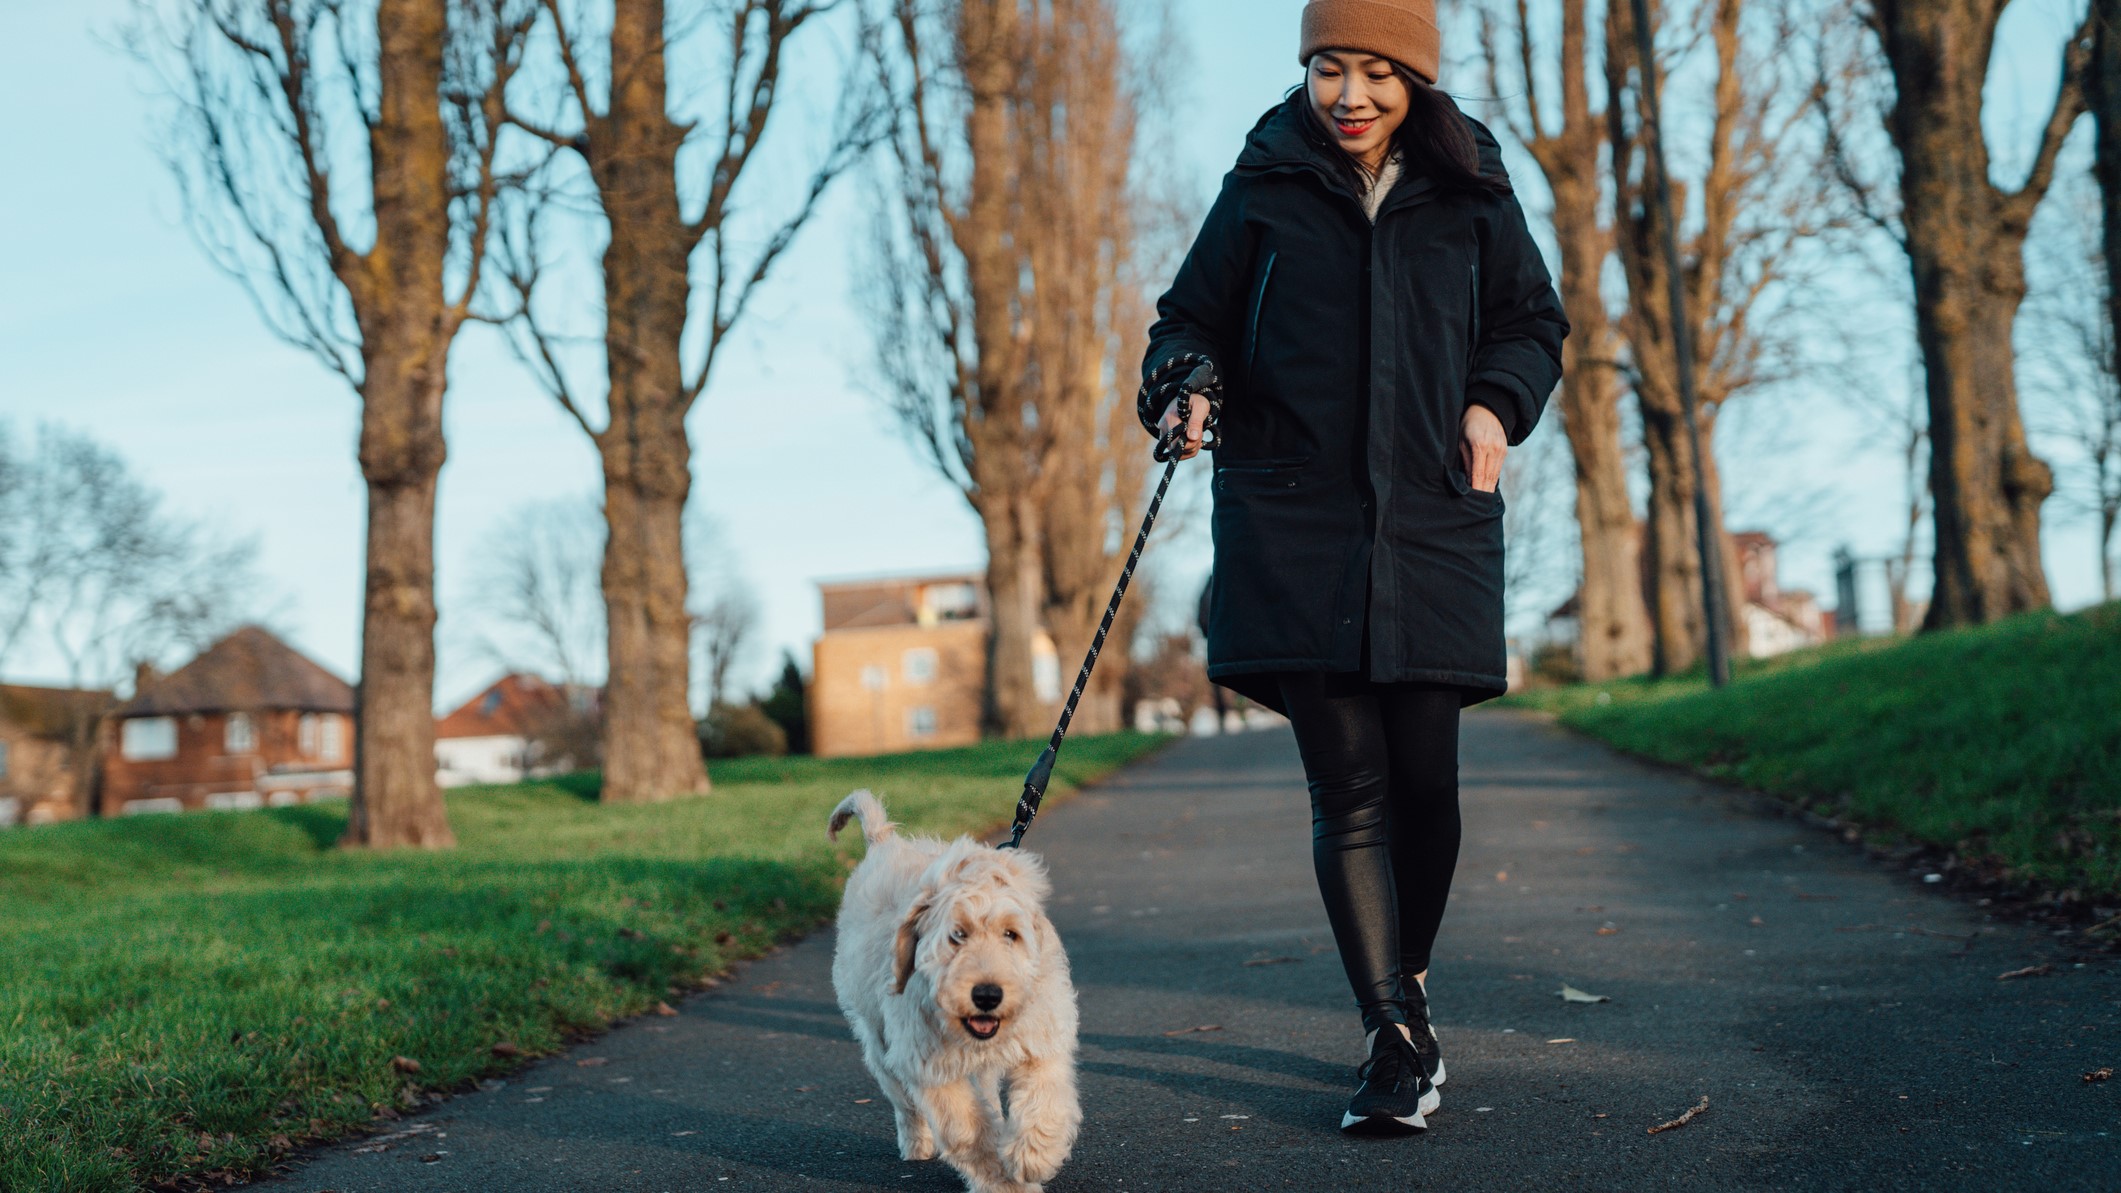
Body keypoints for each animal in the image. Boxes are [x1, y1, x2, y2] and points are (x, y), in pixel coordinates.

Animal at [827, 785, 1077, 1180]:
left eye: (1011, 934)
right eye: (956, 936)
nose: (988, 996)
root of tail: (884, 841)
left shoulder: (1042, 1037)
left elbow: (1044, 1096)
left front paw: (1032, 1156)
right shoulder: (926, 1061)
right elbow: (967, 1129)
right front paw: (1004, 1180)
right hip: (880, 1044)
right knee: (906, 1104)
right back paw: (915, 1144)